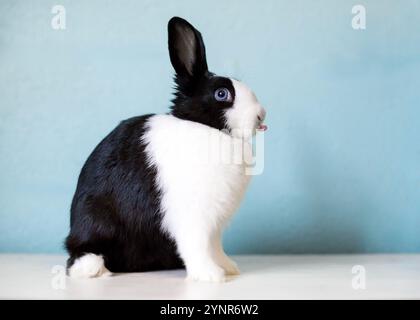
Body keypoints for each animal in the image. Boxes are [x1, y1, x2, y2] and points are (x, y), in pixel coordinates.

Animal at [65, 16, 270, 282]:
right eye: (222, 93)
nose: (261, 115)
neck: (207, 129)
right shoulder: (193, 217)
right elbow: (198, 246)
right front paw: (210, 275)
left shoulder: (215, 223)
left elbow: (215, 246)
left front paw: (228, 267)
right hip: (95, 223)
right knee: (77, 256)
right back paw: (94, 269)